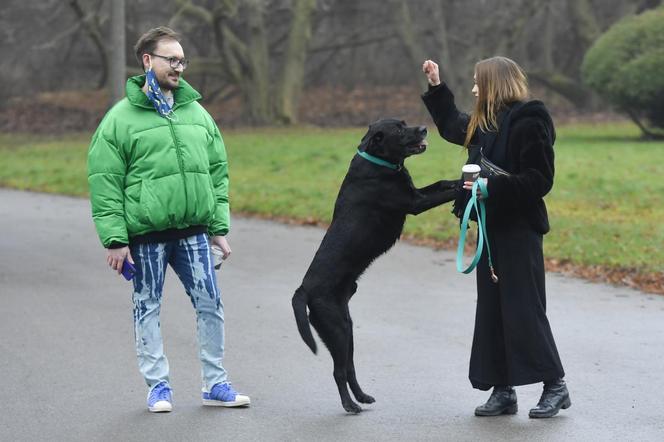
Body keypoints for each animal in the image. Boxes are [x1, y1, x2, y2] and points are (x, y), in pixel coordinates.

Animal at [294, 119, 460, 412]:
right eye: (400, 129)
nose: (424, 128)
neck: (380, 163)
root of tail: (304, 289)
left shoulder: (416, 193)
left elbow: (441, 183)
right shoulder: (415, 203)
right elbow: (447, 190)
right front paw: (467, 184)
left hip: (346, 328)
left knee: (349, 368)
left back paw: (362, 397)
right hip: (336, 330)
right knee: (338, 371)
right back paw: (350, 405)